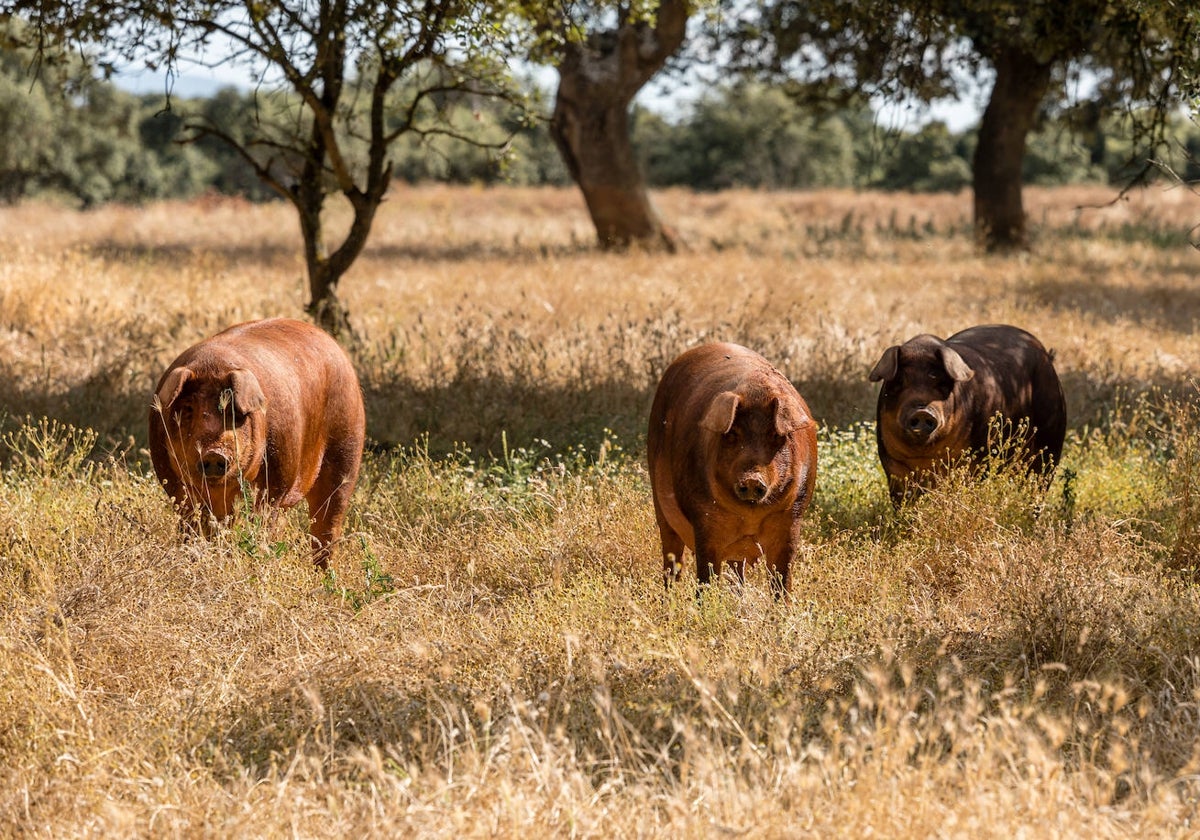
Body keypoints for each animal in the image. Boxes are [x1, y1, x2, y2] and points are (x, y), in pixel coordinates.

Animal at [150, 319, 364, 568]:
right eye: (188, 409)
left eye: (234, 412)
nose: (214, 453)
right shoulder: (171, 479)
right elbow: (192, 521)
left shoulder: (277, 474)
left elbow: (262, 515)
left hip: (347, 448)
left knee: (328, 521)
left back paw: (322, 572)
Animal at [652, 340, 820, 597]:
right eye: (732, 434)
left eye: (775, 435)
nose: (752, 478)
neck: (750, 516)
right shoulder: (705, 524)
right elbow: (706, 578)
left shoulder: (791, 520)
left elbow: (782, 580)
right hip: (660, 507)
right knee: (672, 562)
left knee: (737, 572)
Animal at [868, 324, 1065, 501]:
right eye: (899, 382)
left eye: (940, 382)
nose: (922, 411)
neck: (923, 456)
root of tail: (1045, 354)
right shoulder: (892, 464)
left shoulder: (975, 460)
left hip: (1051, 438)